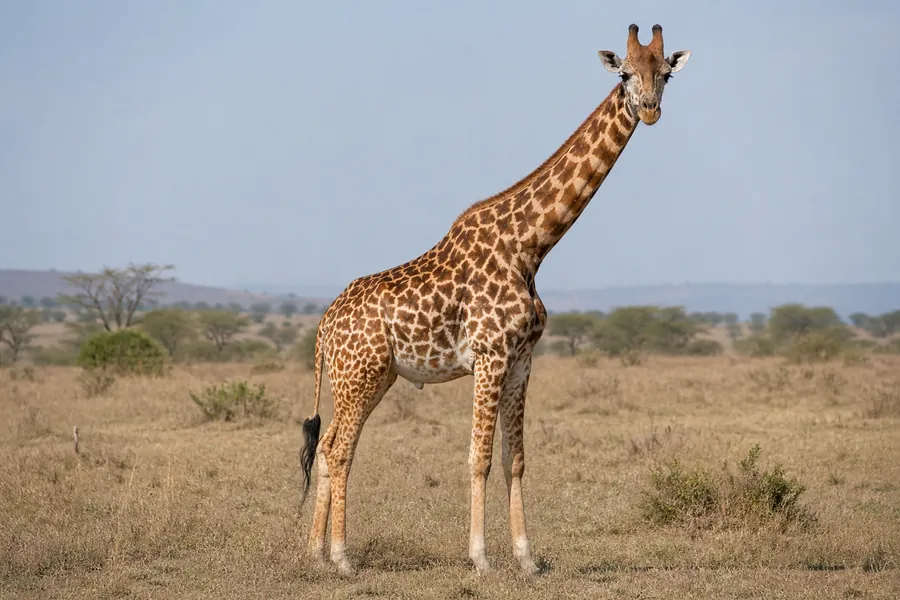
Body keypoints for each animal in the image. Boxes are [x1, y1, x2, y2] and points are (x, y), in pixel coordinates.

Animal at [299, 23, 691, 576]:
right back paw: (341, 557)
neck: (531, 246)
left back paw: (314, 553)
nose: (651, 109)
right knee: (339, 450)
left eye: (666, 73)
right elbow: (478, 457)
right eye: (624, 73)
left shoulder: (523, 360)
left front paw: (527, 558)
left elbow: (515, 458)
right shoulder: (489, 355)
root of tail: (324, 327)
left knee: (329, 444)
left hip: (367, 377)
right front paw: (481, 558)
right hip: (360, 375)